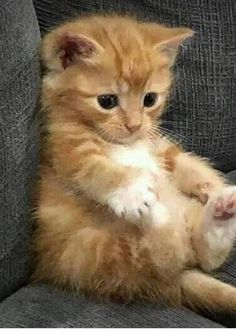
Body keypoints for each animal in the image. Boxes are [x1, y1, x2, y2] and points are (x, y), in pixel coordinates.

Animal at [33, 14, 236, 312]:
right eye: (107, 101)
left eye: (149, 99)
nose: (134, 125)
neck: (125, 143)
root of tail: (178, 279)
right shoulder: (63, 148)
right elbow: (94, 169)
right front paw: (132, 192)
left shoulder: (157, 146)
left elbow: (183, 164)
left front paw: (214, 186)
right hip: (102, 254)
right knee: (166, 250)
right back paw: (154, 211)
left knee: (204, 255)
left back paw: (221, 210)